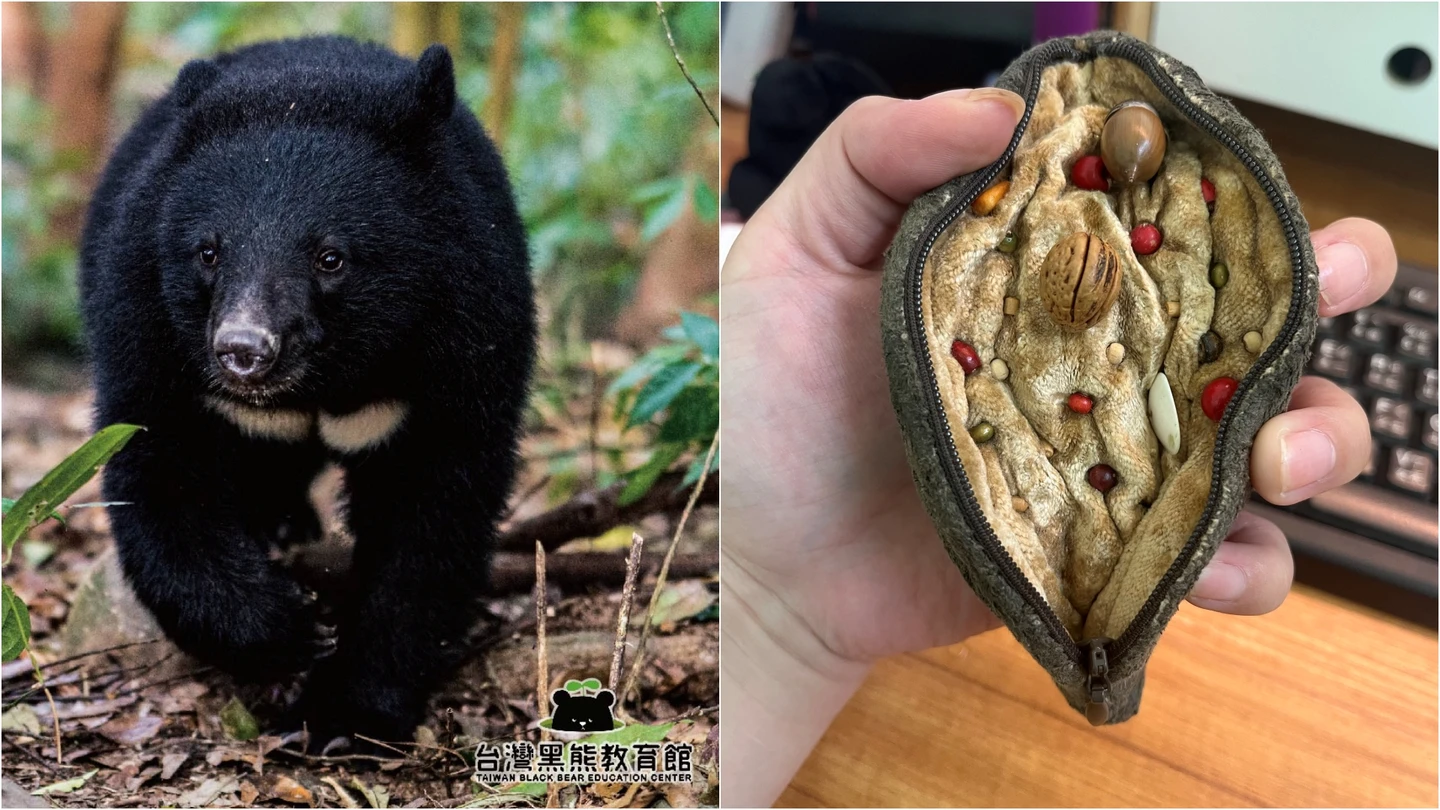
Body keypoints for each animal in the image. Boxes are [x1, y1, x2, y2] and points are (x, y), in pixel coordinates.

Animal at [76, 36, 536, 747]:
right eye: (208, 252)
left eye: (331, 258)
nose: (243, 351)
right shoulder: (145, 316)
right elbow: (158, 465)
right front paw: (290, 628)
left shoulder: (469, 335)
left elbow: (433, 513)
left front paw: (347, 713)